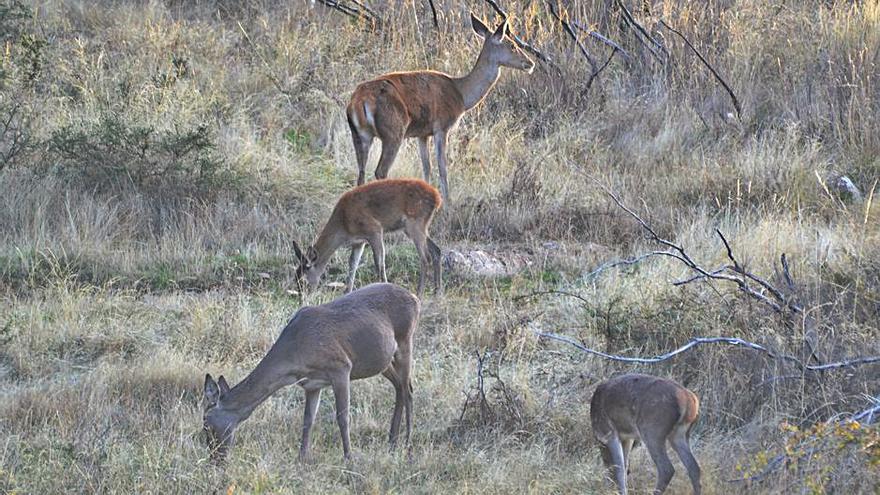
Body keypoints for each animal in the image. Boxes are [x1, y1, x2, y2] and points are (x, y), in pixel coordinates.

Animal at [203, 284, 420, 464]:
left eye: (206, 423)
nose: (214, 459)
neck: (297, 355)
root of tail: (415, 298)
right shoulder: (312, 384)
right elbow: (308, 420)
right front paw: (301, 458)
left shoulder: (341, 367)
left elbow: (343, 417)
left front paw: (348, 458)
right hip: (381, 361)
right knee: (400, 387)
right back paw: (392, 442)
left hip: (405, 340)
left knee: (408, 389)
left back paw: (408, 445)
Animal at [294, 178, 444, 296]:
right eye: (296, 277)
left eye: (304, 280)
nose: (302, 297)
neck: (344, 224)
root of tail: (437, 198)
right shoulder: (359, 242)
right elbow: (353, 263)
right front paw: (347, 292)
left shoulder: (374, 230)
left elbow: (379, 262)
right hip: (416, 227)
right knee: (436, 250)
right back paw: (437, 292)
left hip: (415, 223)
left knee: (425, 257)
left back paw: (419, 293)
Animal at [348, 13, 536, 201]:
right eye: (512, 45)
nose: (530, 63)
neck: (461, 95)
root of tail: (358, 101)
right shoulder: (441, 126)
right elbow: (442, 168)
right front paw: (447, 201)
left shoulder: (422, 133)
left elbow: (427, 167)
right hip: (393, 131)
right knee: (380, 171)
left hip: (360, 135)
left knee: (361, 173)